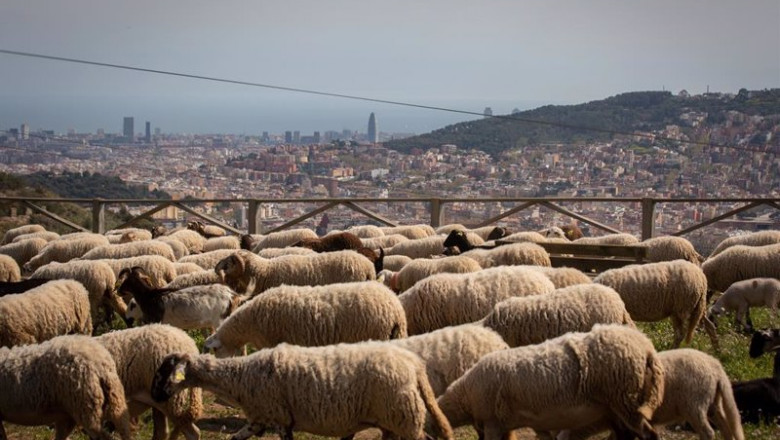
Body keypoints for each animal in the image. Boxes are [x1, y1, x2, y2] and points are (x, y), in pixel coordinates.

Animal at [151, 342, 454, 440]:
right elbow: (236, 439)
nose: (155, 397)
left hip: (404, 417)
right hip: (394, 420)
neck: (239, 376)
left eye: (163, 372)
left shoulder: (281, 419)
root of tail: (413, 365)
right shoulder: (259, 420)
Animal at [435, 324, 664, 440]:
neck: (465, 394)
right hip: (615, 407)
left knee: (648, 434)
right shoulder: (511, 424)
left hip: (625, 399)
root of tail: (646, 347)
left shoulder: (492, 422)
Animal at [562, 348, 744, 440]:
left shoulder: (626, 421)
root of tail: (716, 367)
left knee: (708, 432)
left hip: (694, 405)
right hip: (712, 403)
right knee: (726, 427)